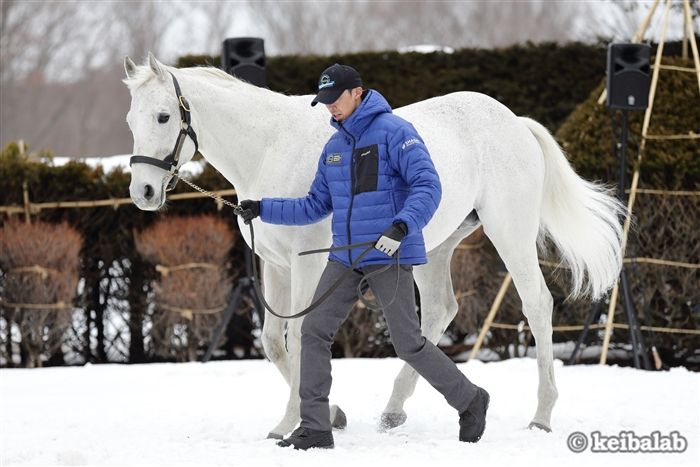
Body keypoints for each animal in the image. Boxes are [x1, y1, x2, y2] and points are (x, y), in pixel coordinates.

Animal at [123, 53, 624, 438]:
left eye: (164, 116)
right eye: (131, 119)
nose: (143, 192)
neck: (271, 148)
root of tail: (514, 122)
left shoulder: (305, 266)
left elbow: (299, 336)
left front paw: (296, 422)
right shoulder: (276, 268)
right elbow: (271, 342)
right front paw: (327, 414)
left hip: (510, 234)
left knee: (537, 304)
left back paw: (541, 415)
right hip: (433, 248)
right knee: (438, 312)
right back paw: (394, 410)